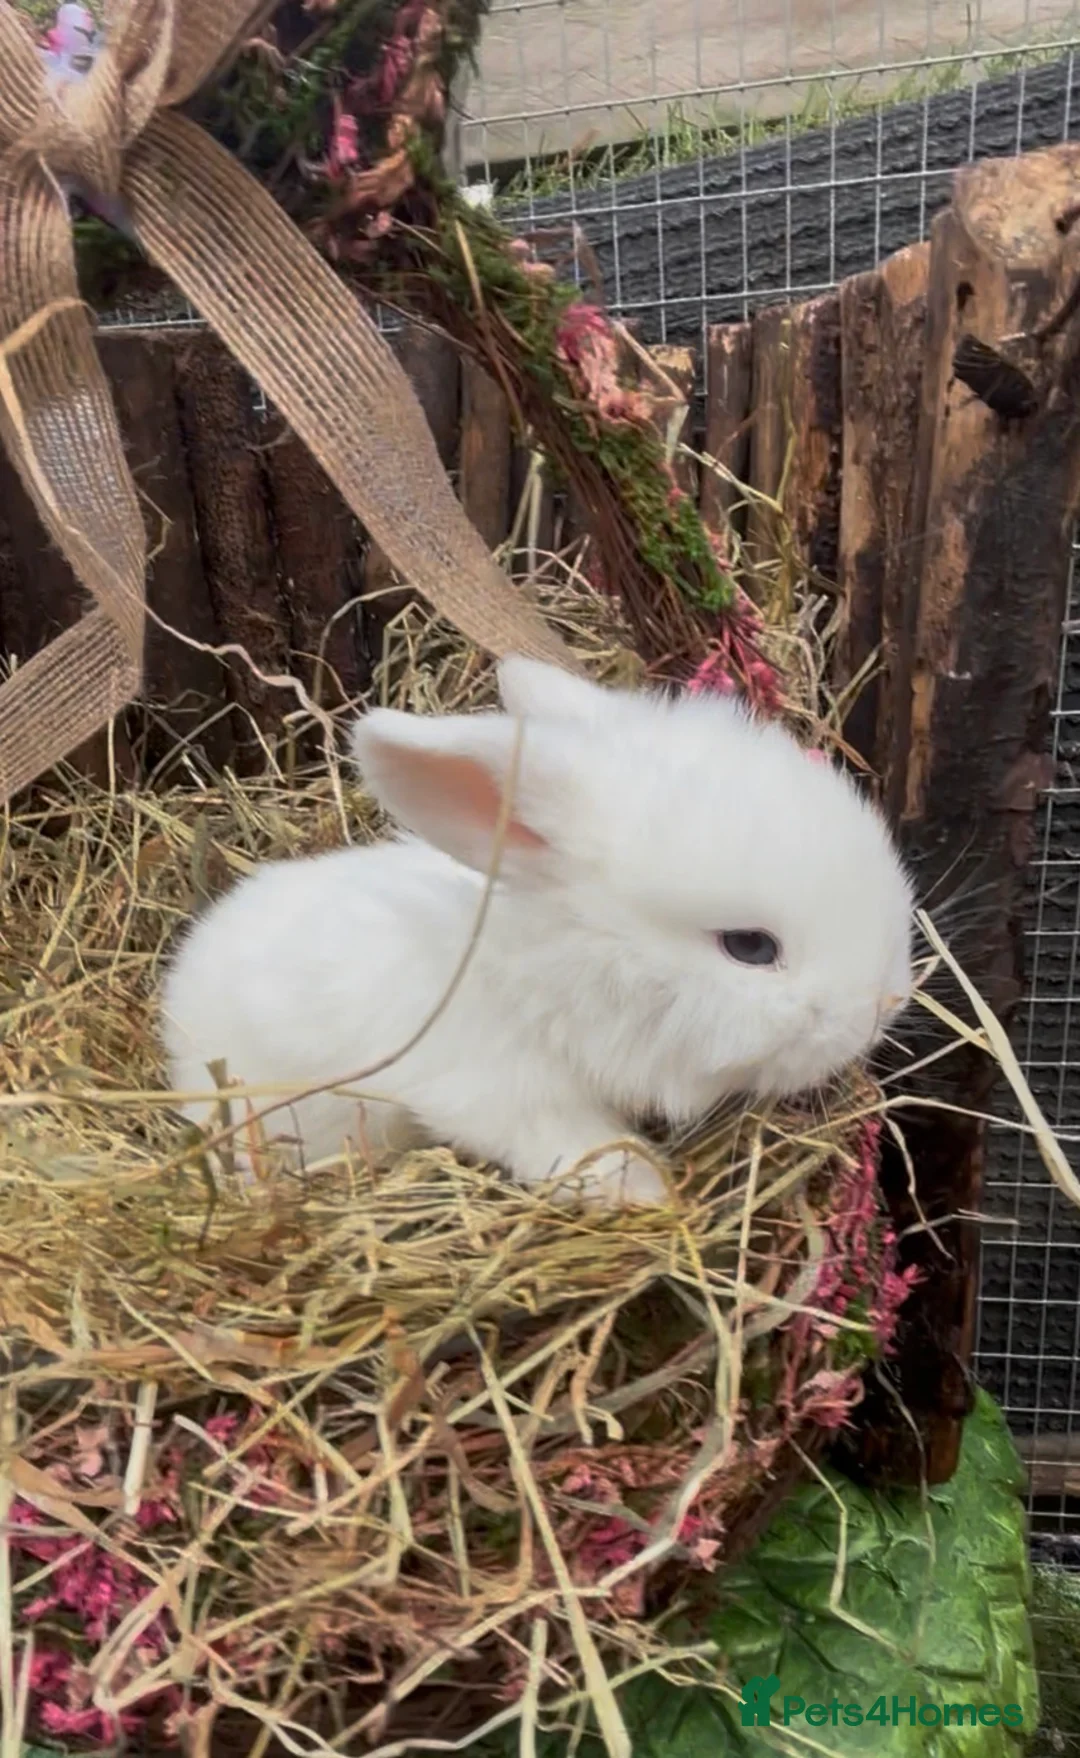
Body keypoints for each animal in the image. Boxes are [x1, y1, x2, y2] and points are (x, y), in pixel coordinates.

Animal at [160, 656, 913, 1207]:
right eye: (749, 946)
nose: (884, 1005)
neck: (539, 975)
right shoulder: (503, 1089)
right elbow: (570, 1141)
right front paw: (643, 1190)